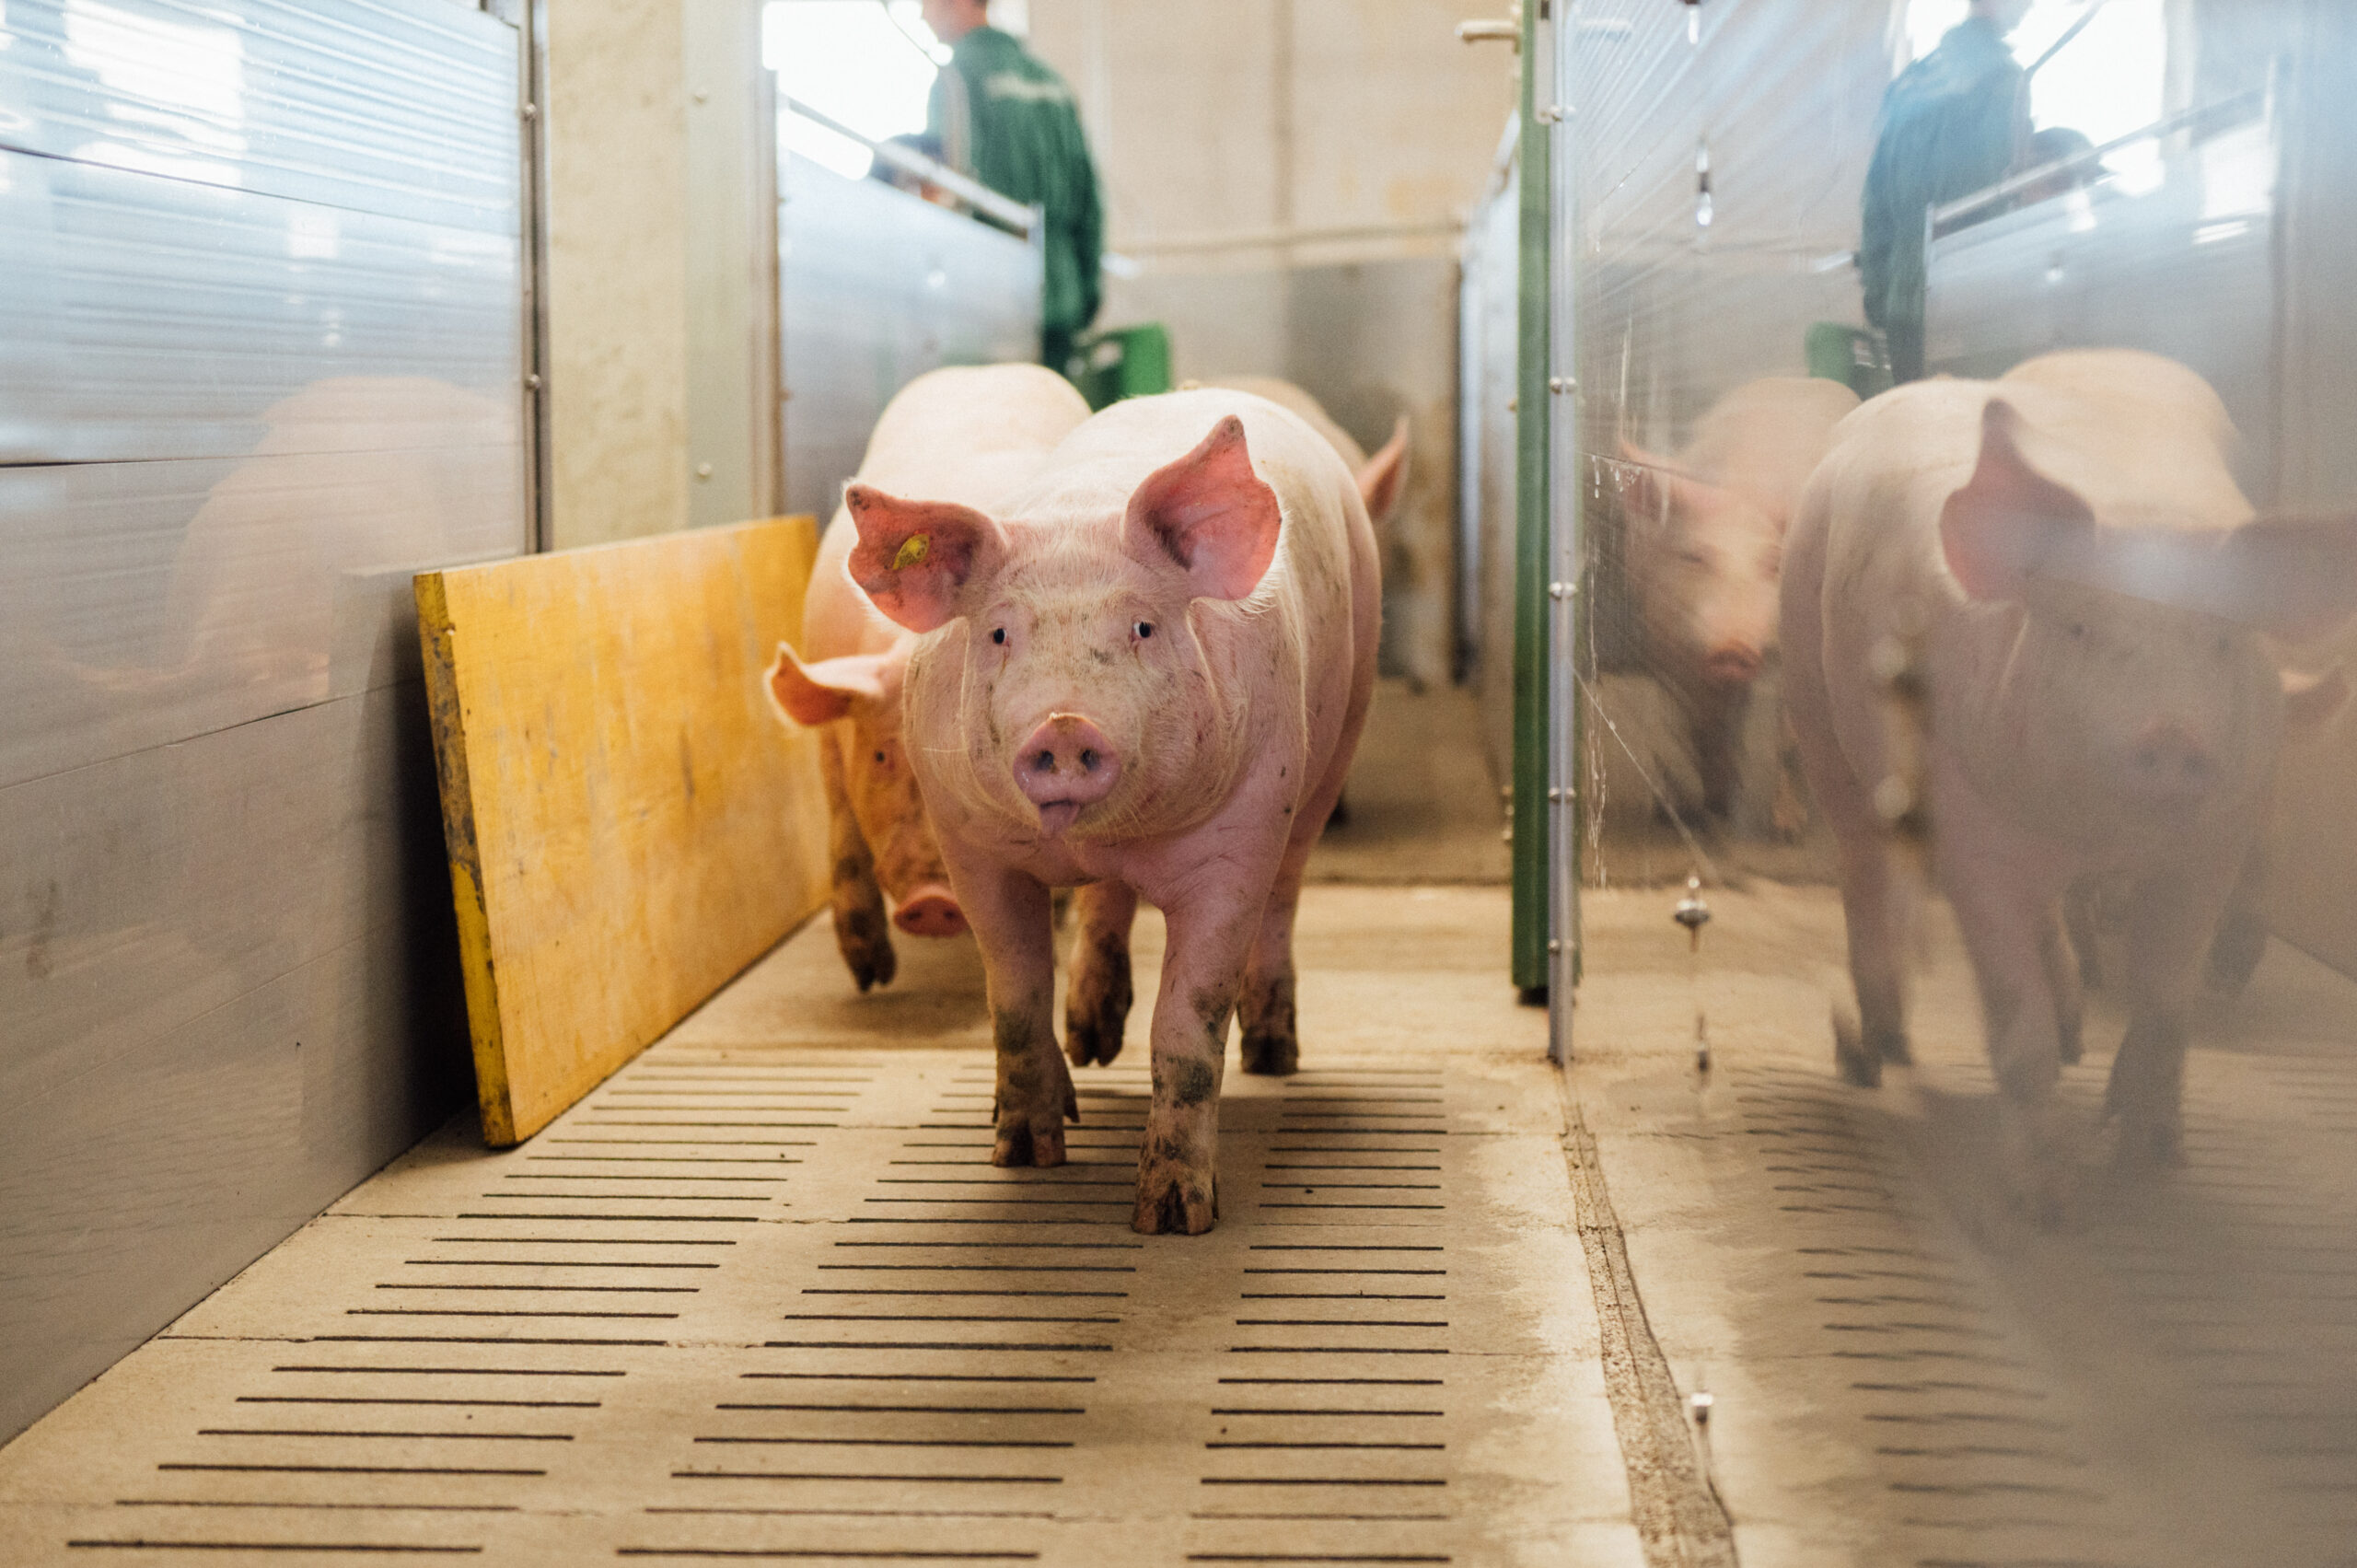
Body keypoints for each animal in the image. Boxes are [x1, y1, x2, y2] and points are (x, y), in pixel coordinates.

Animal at [839, 388, 1379, 1234]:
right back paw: (1089, 1046)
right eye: (1000, 632)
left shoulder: (1241, 838)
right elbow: (1014, 994)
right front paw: (1023, 1156)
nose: (1064, 725)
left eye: (1142, 627)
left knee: (1283, 899)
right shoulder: (969, 843)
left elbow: (1188, 1023)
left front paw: (1174, 1217)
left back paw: (1272, 1054)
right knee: (1106, 903)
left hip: (1337, 741)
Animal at [1615, 376, 1860, 822]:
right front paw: (1702, 806)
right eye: (1695, 556)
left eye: (1774, 562)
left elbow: (1788, 735)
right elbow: (1697, 721)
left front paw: (1789, 825)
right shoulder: (1662, 636)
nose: (1733, 647)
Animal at [1780, 348, 2357, 1213]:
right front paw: (2046, 1202)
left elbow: (2166, 1001)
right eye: (2081, 627)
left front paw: (2154, 1155)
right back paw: (1875, 1050)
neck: (2100, 836)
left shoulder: (2212, 846)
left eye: (2222, 641)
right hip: (1813, 694)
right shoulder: (1969, 829)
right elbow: (2011, 1015)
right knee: (1861, 864)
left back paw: (2073, 1030)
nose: (2172, 734)